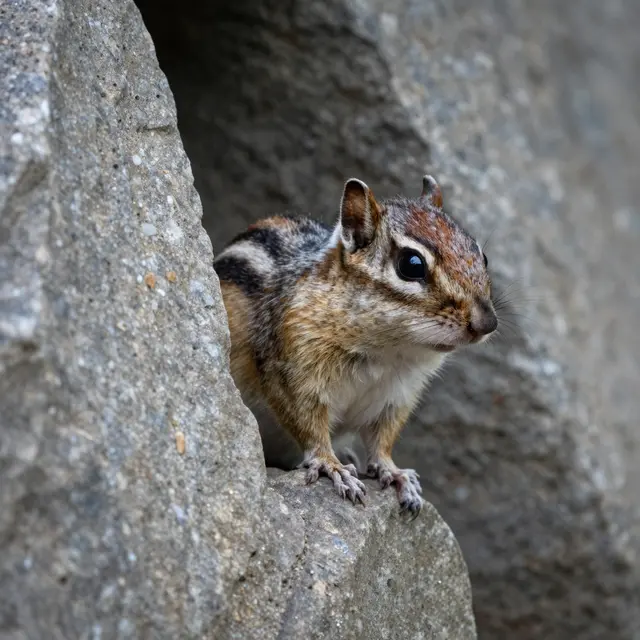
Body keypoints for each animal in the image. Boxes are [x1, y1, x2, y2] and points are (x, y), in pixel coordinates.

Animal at [214, 175, 497, 517]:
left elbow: (382, 440)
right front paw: (331, 465)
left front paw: (395, 472)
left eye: (482, 257)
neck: (388, 351)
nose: (487, 323)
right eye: (412, 264)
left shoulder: (398, 396)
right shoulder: (291, 374)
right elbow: (309, 426)